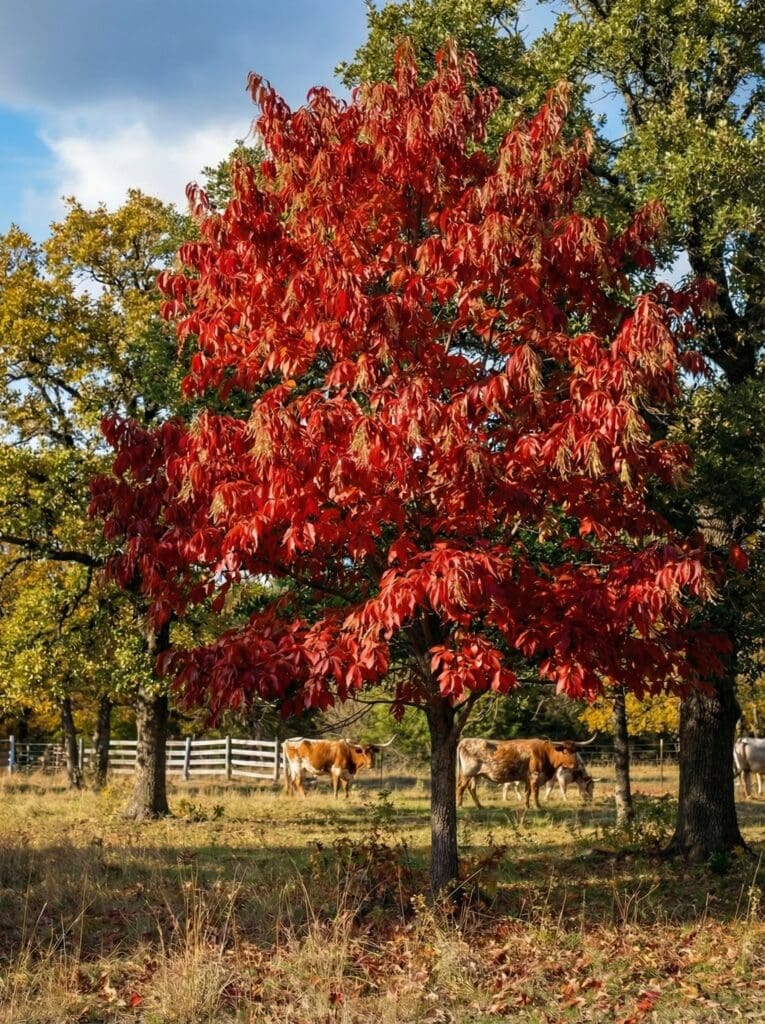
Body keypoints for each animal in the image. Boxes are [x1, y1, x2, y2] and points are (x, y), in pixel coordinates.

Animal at [457, 736, 596, 809]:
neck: (545, 753)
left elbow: (527, 793)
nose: (575, 764)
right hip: (467, 773)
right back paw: (460, 805)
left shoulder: (528, 778)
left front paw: (527, 806)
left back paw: (479, 806)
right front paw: (538, 806)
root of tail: (465, 741)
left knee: (471, 789)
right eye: (565, 751)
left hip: (476, 775)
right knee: (461, 787)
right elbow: (535, 793)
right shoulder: (535, 776)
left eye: (575, 751)